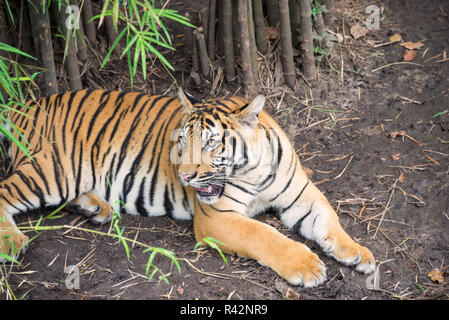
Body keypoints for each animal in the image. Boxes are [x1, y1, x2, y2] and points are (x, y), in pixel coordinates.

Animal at [0, 88, 374, 288]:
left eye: (210, 142)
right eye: (182, 141)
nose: (185, 176)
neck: (254, 170)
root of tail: (27, 104)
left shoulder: (303, 195)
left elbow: (330, 221)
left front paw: (359, 254)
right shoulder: (218, 217)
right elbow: (265, 236)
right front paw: (307, 266)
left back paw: (97, 208)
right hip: (52, 171)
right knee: (5, 191)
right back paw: (13, 242)